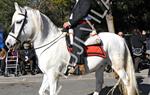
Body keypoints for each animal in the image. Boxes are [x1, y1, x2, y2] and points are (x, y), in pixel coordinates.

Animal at [5, 2, 139, 95]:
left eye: (19, 21)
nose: (8, 43)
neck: (49, 43)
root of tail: (120, 38)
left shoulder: (53, 76)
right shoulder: (46, 75)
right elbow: (41, 91)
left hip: (118, 67)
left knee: (127, 82)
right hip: (100, 67)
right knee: (99, 83)